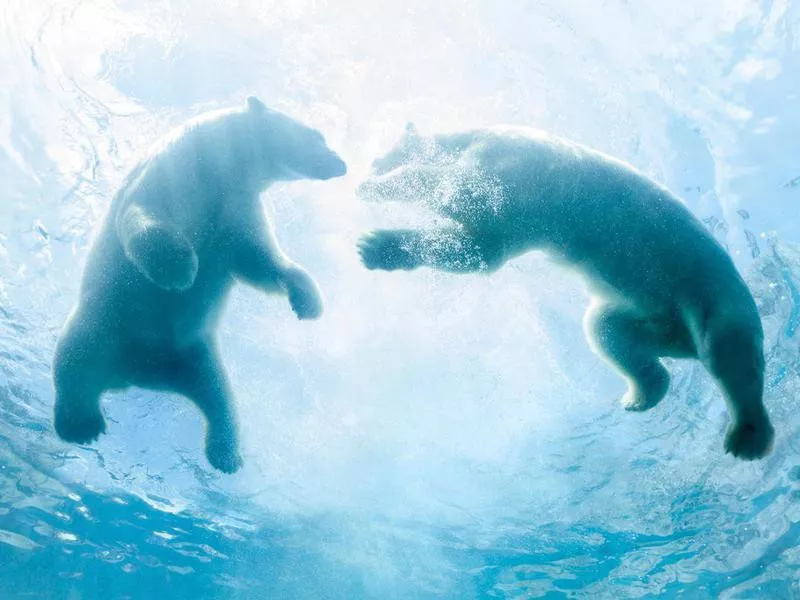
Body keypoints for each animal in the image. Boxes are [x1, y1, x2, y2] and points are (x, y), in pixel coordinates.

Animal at [53, 96, 346, 474]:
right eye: (317, 135)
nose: (341, 163)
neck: (219, 165)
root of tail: (135, 375)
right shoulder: (173, 174)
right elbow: (146, 217)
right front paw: (178, 270)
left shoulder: (235, 204)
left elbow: (254, 258)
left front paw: (306, 299)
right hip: (103, 323)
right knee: (75, 358)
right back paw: (81, 425)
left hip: (195, 354)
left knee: (219, 397)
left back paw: (226, 455)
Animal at [356, 122, 776, 460]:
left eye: (381, 153)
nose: (370, 166)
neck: (475, 134)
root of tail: (684, 341)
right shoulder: (514, 220)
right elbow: (478, 249)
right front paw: (373, 247)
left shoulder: (505, 166)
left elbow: (457, 192)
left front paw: (377, 191)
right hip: (649, 315)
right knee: (609, 332)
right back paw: (639, 396)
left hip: (715, 296)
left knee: (730, 358)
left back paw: (748, 437)